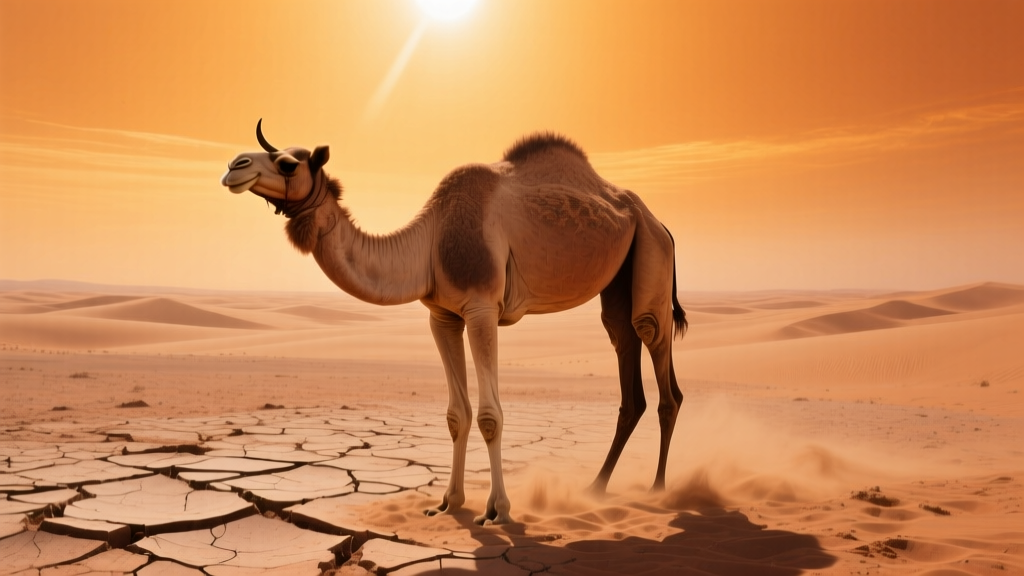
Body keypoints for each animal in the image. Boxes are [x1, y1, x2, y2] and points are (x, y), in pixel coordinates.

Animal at [220, 120, 687, 525]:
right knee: (623, 351)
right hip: (621, 273)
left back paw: (659, 489)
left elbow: (488, 416)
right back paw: (596, 487)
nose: (233, 167)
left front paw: (497, 511)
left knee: (654, 346)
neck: (430, 243)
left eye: (288, 163)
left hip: (652, 251)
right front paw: (448, 503)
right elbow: (456, 415)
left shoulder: (482, 309)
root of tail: (661, 223)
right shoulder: (442, 317)